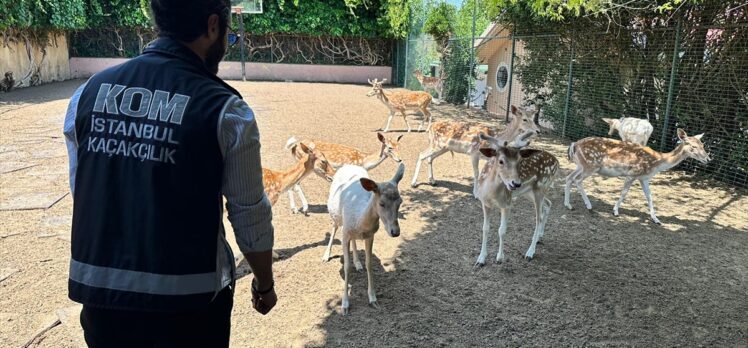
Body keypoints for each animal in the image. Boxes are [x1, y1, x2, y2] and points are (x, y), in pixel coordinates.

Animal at [326, 163, 404, 316]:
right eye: (381, 203)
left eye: (400, 201)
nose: (395, 232)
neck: (359, 219)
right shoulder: (345, 234)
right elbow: (346, 266)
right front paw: (344, 305)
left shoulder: (370, 235)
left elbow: (369, 263)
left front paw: (373, 299)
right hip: (336, 217)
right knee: (334, 227)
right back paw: (326, 255)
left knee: (355, 241)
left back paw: (358, 263)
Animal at [412, 104, 540, 190]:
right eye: (524, 119)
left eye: (533, 119)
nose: (538, 130)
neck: (496, 136)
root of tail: (431, 126)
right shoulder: (473, 152)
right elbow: (476, 173)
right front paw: (476, 193)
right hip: (436, 144)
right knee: (421, 154)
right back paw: (413, 183)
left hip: (444, 147)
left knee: (430, 158)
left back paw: (432, 181)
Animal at [564, 129, 712, 224]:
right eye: (693, 146)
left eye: (702, 145)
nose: (708, 159)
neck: (657, 162)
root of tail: (574, 145)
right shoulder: (632, 173)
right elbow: (624, 193)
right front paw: (615, 211)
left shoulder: (644, 178)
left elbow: (650, 197)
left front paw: (656, 219)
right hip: (590, 166)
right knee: (577, 180)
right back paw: (588, 206)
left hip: (581, 166)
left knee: (569, 177)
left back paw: (568, 205)